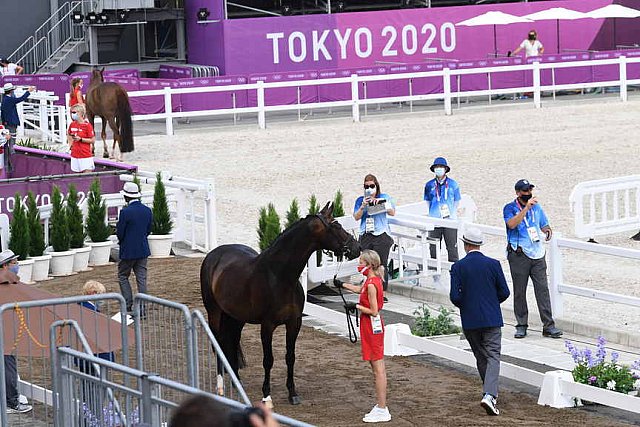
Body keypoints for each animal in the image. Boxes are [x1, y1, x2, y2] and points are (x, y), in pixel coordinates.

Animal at [200, 202, 360, 406]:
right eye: (337, 226)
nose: (357, 248)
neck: (280, 276)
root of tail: (213, 255)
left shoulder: (294, 323)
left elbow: (290, 357)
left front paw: (292, 393)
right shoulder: (267, 326)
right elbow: (268, 359)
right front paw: (266, 394)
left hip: (236, 317)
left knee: (233, 341)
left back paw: (237, 383)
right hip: (214, 312)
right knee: (218, 341)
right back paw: (221, 385)